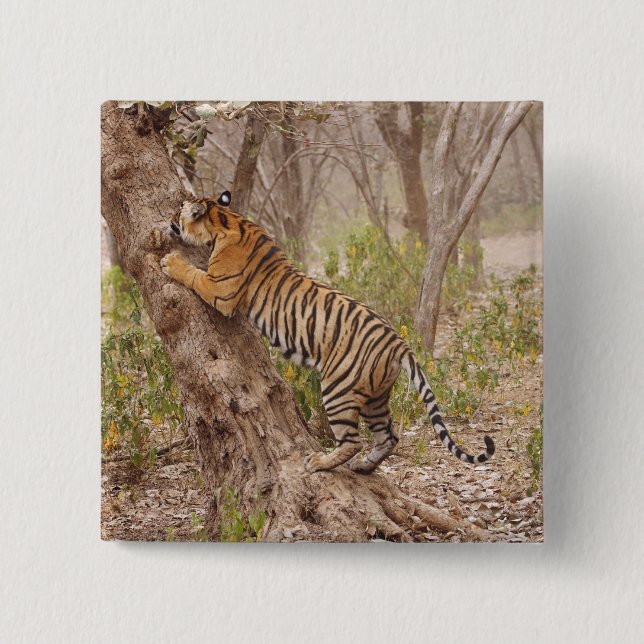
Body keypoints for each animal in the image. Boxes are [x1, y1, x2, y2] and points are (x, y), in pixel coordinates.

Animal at [161, 190, 495, 474]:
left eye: (179, 211)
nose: (169, 220)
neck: (227, 219)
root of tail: (399, 344)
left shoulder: (220, 291)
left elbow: (193, 274)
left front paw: (170, 261)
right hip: (376, 397)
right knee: (388, 436)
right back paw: (364, 467)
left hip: (338, 389)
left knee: (352, 440)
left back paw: (320, 462)